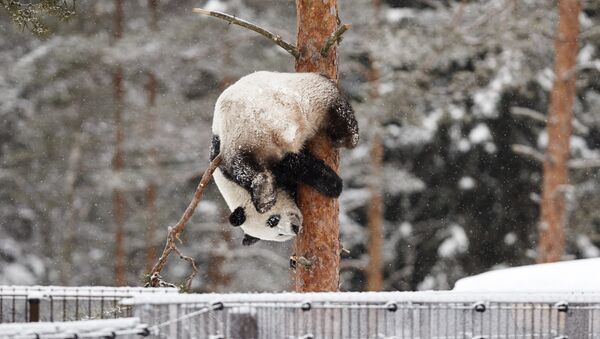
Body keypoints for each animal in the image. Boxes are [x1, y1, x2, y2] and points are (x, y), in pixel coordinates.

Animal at [211, 71, 358, 244]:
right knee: (337, 113)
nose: (294, 228)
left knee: (245, 166)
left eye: (273, 220)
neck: (235, 192)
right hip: (307, 100)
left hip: (239, 135)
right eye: (278, 234)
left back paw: (264, 198)